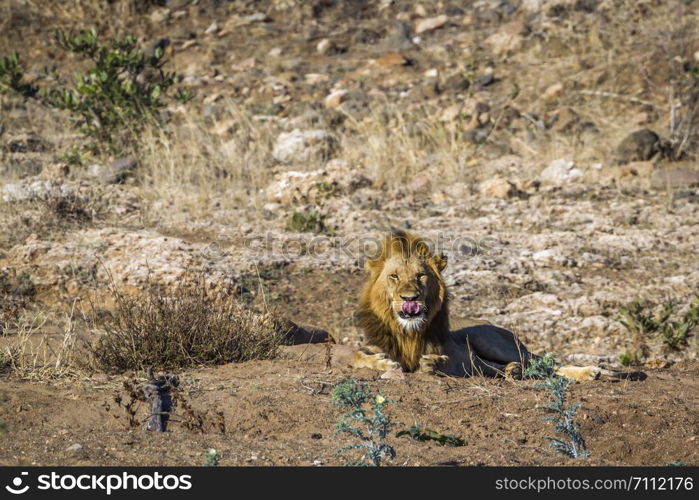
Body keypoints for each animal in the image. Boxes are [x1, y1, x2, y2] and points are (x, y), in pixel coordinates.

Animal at [356, 231, 616, 382]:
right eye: (394, 277)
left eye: (421, 276)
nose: (410, 298)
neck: (407, 331)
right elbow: (357, 356)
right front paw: (382, 362)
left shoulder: (461, 358)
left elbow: (446, 361)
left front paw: (432, 362)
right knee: (518, 366)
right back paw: (514, 371)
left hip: (493, 342)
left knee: (545, 362)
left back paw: (592, 372)